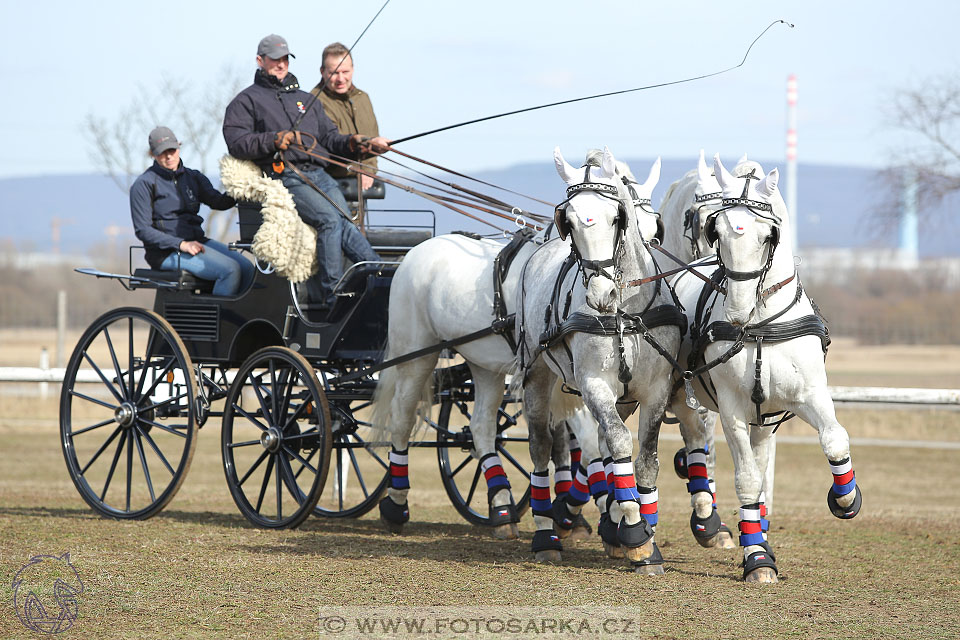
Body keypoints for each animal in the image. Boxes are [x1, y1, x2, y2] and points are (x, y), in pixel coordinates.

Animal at [516, 149, 684, 568]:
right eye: (571, 221)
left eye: (615, 218)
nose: (600, 294)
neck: (624, 313)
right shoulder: (593, 385)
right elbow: (620, 442)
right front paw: (636, 532)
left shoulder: (656, 390)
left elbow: (645, 458)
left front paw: (639, 534)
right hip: (536, 375)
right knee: (541, 446)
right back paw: (545, 535)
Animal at [668, 155, 864, 584]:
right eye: (719, 231)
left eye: (766, 235)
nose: (737, 310)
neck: (760, 324)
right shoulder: (732, 411)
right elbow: (746, 480)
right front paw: (757, 557)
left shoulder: (809, 396)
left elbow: (834, 440)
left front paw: (845, 499)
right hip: (684, 399)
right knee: (694, 447)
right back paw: (707, 522)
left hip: (762, 419)